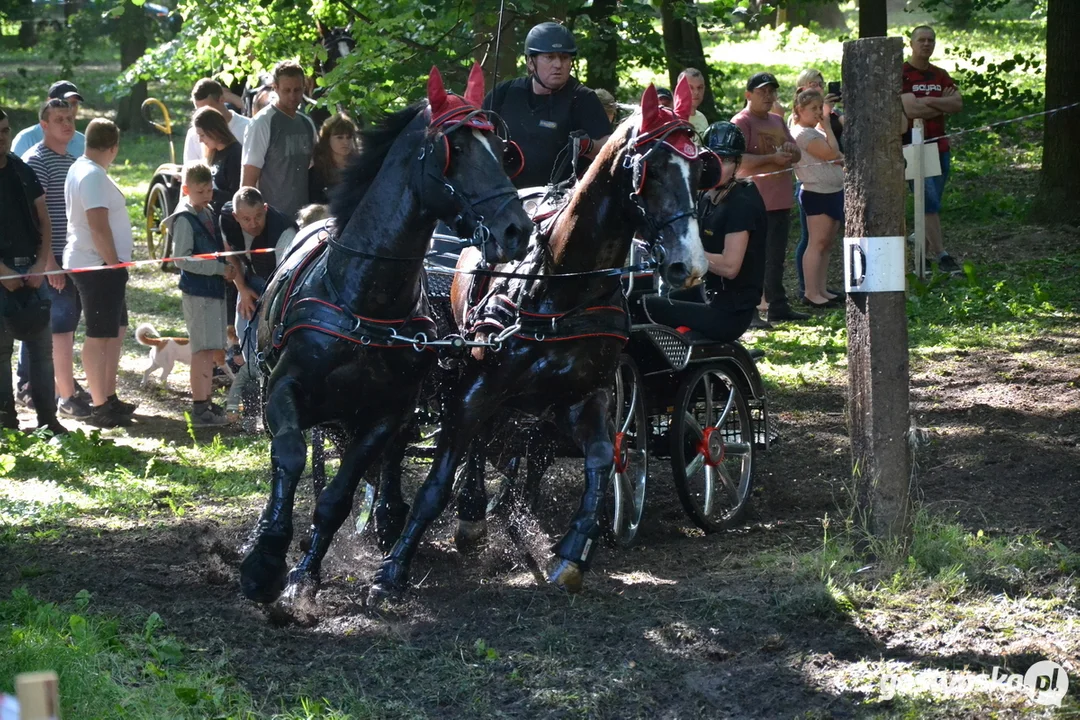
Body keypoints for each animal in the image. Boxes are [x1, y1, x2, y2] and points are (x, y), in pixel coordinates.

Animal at [240, 66, 535, 608]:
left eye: (503, 151)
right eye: (455, 149)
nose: (516, 230)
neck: (364, 302)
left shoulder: (384, 413)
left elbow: (338, 496)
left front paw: (304, 576)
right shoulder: (283, 391)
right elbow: (289, 456)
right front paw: (266, 558)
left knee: (389, 463)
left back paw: (388, 517)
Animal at [369, 77, 717, 595]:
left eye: (699, 171)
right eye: (649, 171)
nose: (688, 266)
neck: (566, 284)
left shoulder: (589, 393)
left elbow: (602, 460)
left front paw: (574, 552)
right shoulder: (476, 386)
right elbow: (441, 474)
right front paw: (393, 567)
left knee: (527, 449)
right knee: (478, 445)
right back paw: (471, 513)